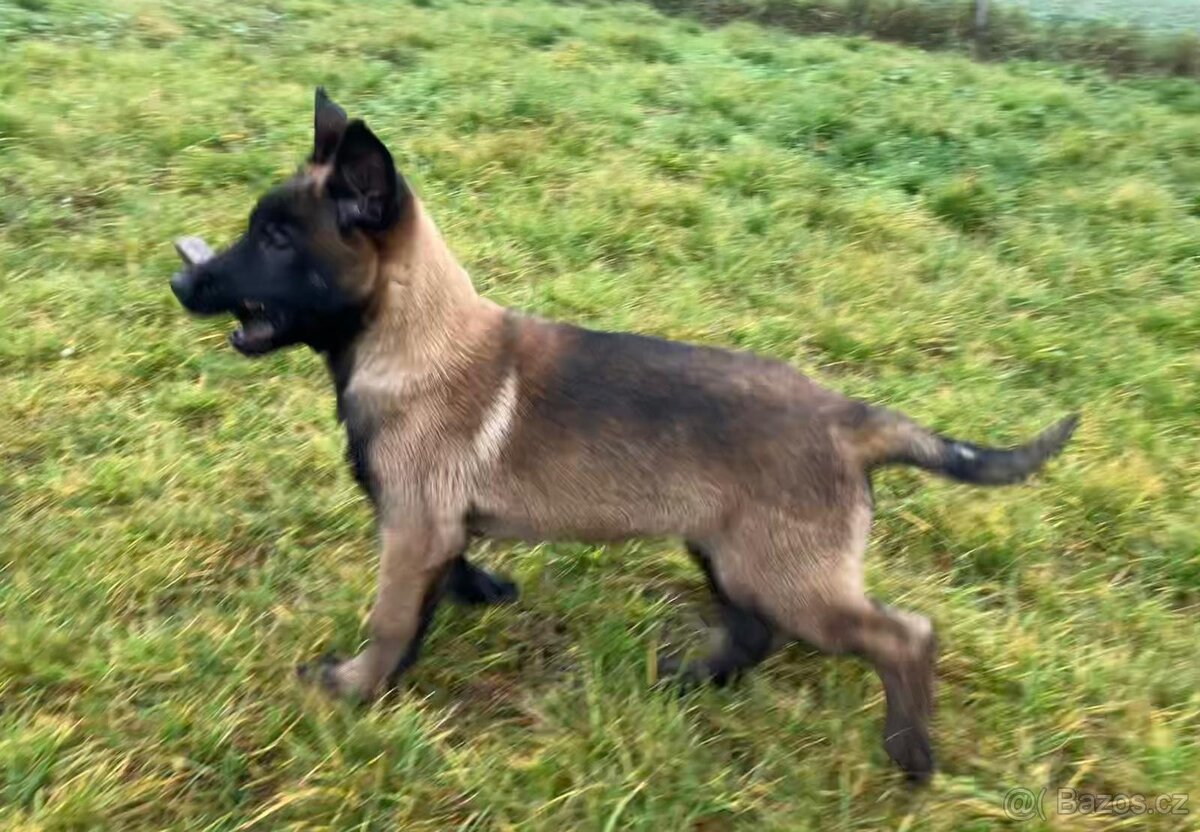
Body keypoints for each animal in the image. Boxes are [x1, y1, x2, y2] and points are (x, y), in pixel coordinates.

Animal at [169, 88, 1078, 783]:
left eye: (277, 239)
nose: (182, 281)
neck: (411, 336)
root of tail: (847, 416)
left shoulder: (411, 526)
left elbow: (391, 620)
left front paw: (356, 688)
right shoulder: (428, 525)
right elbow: (444, 578)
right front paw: (478, 594)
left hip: (784, 573)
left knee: (902, 636)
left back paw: (910, 753)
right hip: (729, 552)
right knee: (755, 631)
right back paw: (693, 681)